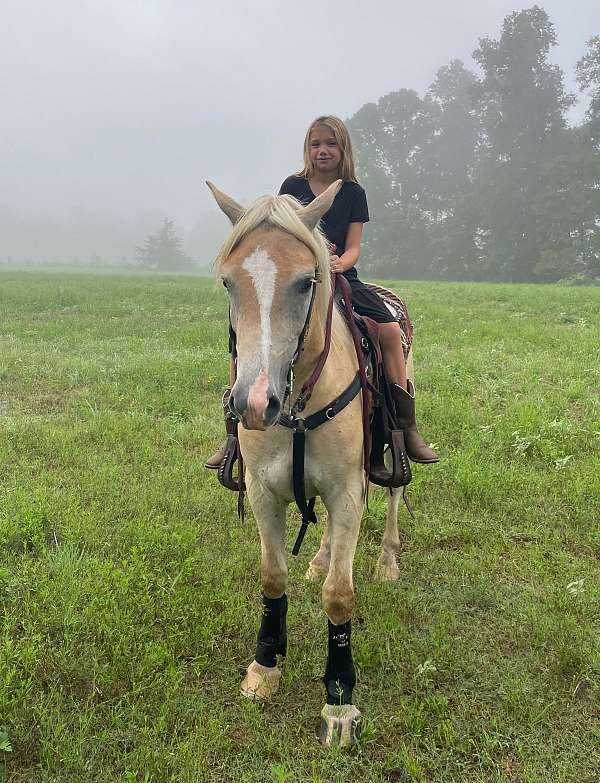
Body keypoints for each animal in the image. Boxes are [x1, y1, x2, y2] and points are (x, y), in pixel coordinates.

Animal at [207, 179, 412, 748]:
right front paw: (264, 668)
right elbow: (272, 577)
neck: (298, 404)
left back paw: (387, 560)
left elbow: (339, 596)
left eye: (305, 283)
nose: (254, 403)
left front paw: (339, 701)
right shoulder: (262, 492)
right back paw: (320, 556)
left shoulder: (347, 490)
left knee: (392, 494)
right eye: (229, 283)